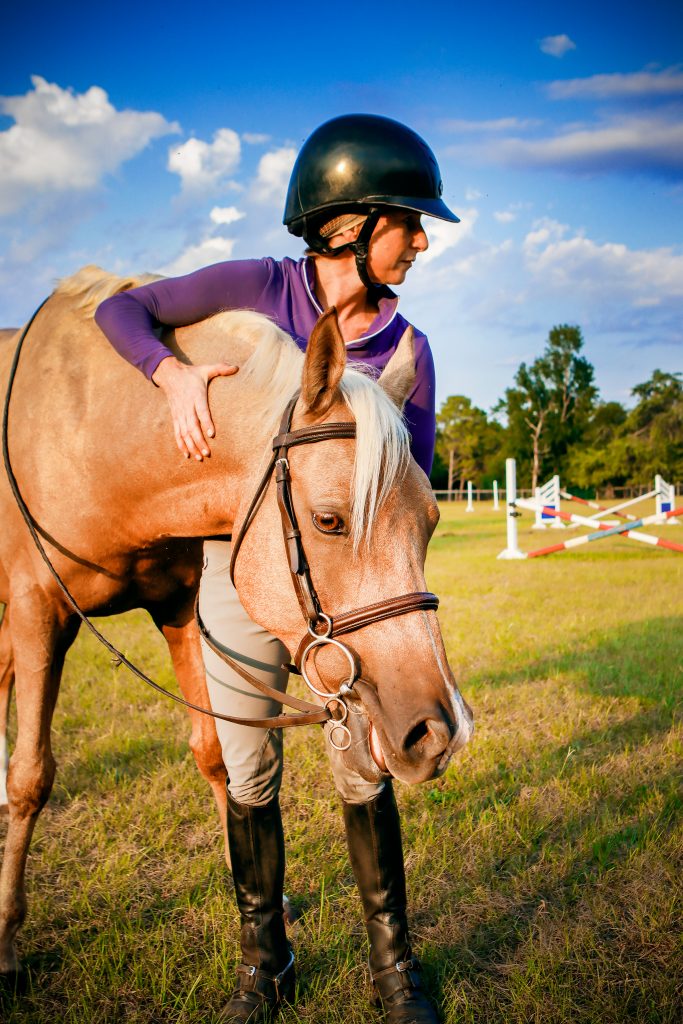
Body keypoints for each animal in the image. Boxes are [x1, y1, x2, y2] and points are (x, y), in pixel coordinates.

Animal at [0, 270, 471, 974]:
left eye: (432, 521)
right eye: (329, 520)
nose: (440, 731)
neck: (91, 437)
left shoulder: (178, 608)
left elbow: (217, 757)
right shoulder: (37, 609)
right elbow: (33, 776)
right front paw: (6, 935)